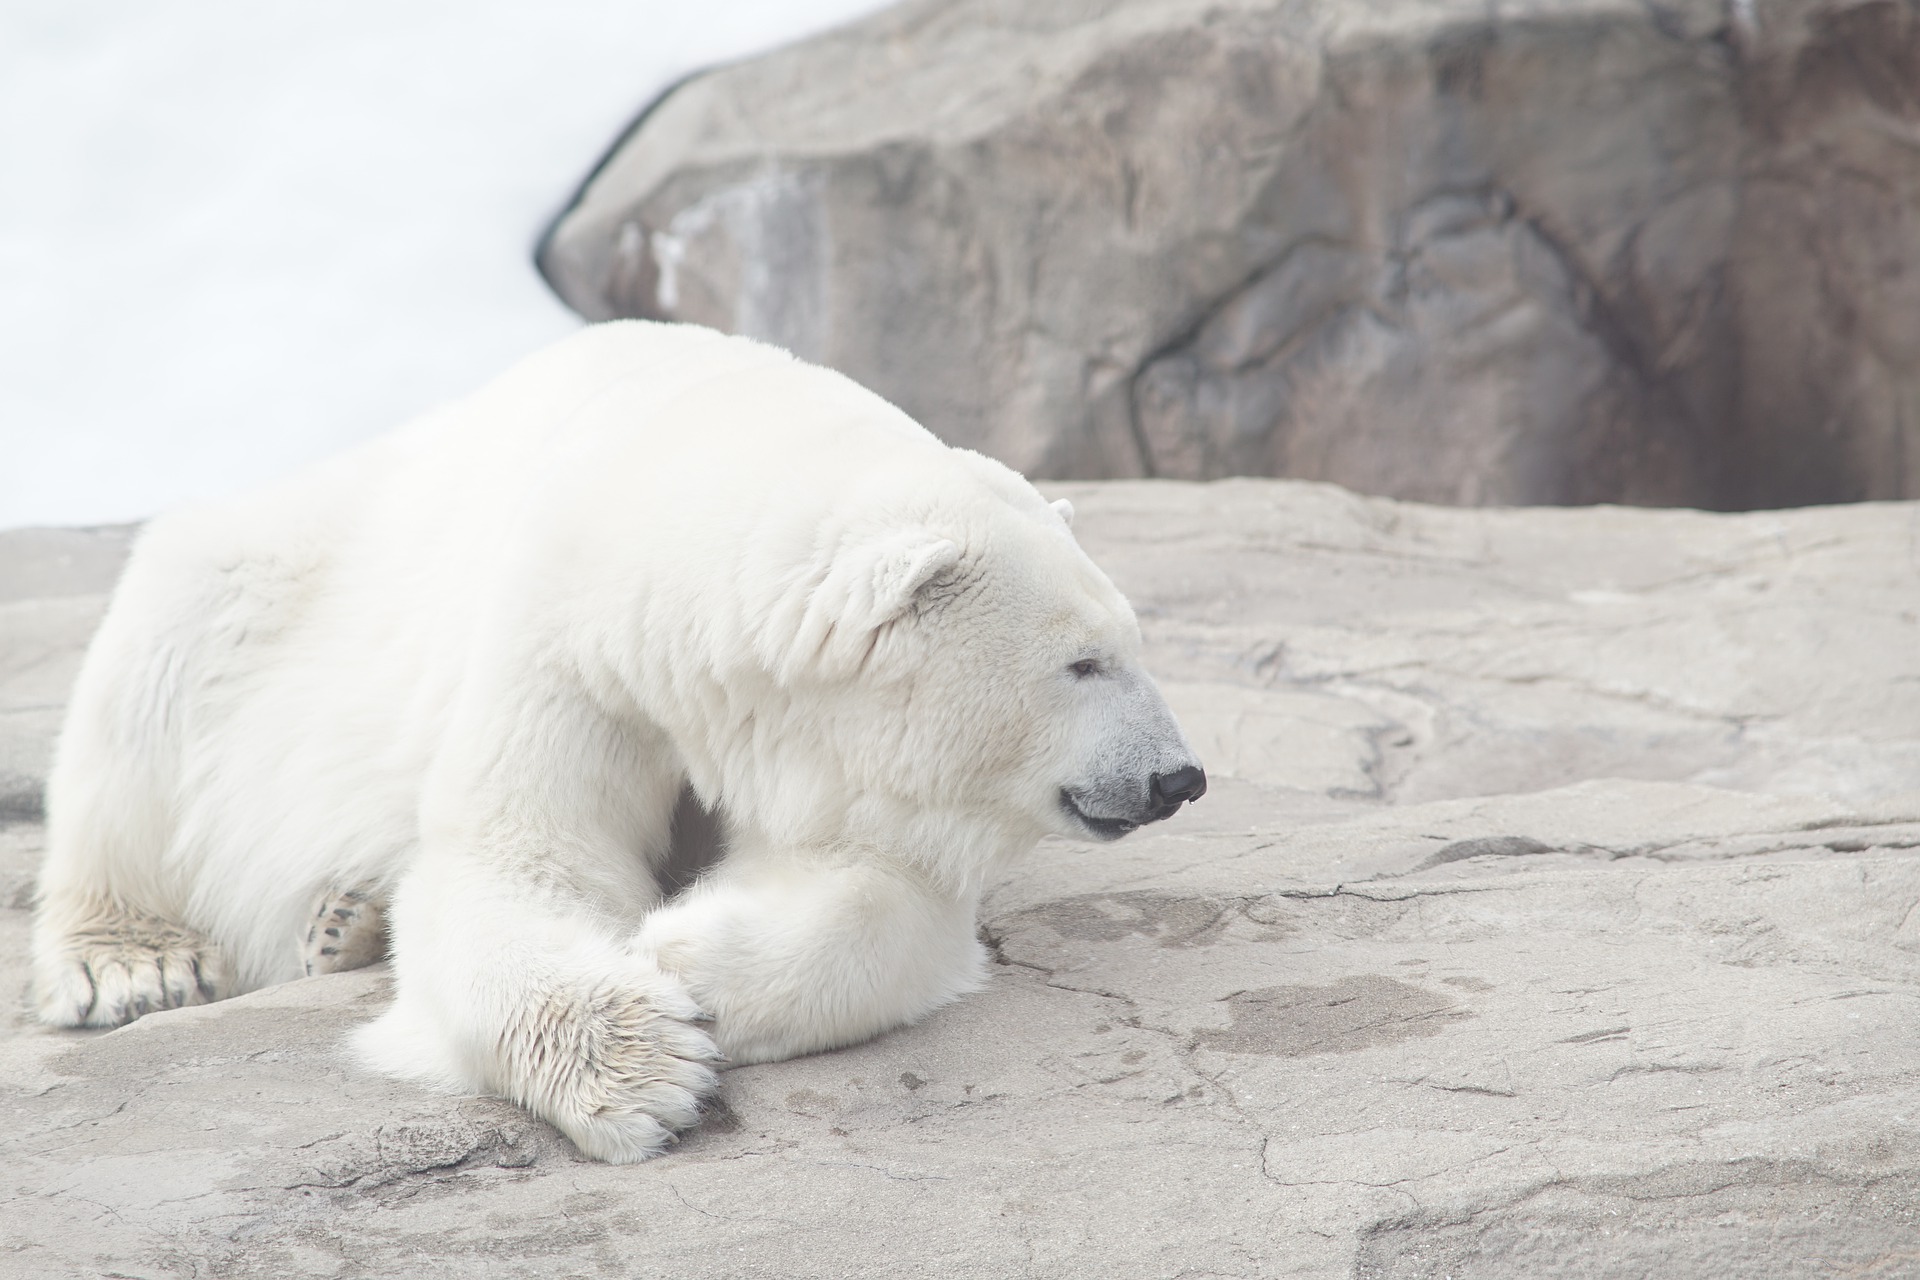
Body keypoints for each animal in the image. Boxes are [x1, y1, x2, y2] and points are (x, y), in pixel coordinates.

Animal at [30, 320, 1198, 1159]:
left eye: (1134, 640)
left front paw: (687, 956)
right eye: (1084, 662)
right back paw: (134, 963)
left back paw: (344, 921)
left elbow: (884, 888)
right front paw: (643, 1063)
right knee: (154, 678)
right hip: (270, 583)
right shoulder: (571, 648)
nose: (1177, 776)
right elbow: (517, 860)